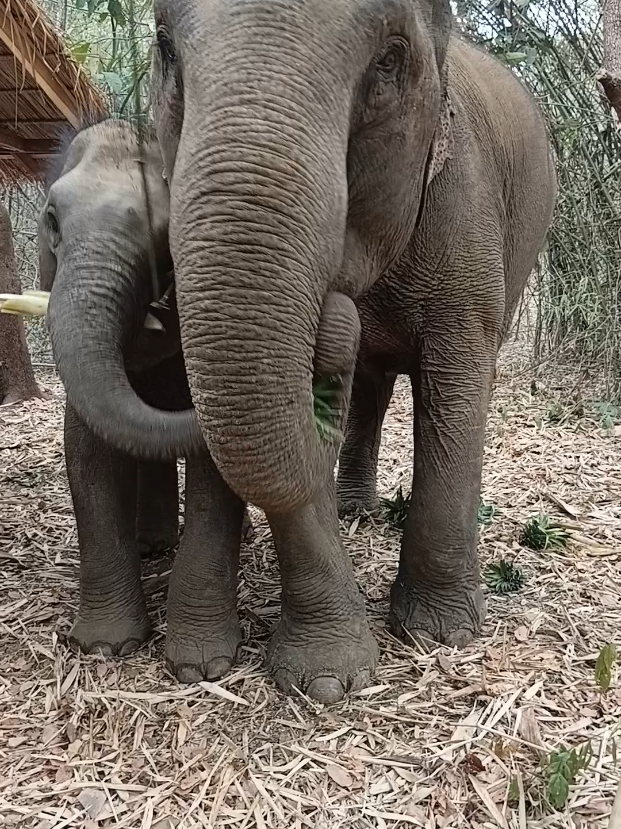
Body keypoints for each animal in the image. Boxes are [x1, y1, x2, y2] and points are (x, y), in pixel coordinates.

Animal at [40, 119, 251, 676]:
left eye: (165, 235)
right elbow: (87, 456)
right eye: (51, 219)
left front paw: (201, 668)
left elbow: (214, 474)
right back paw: (153, 546)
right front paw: (105, 647)